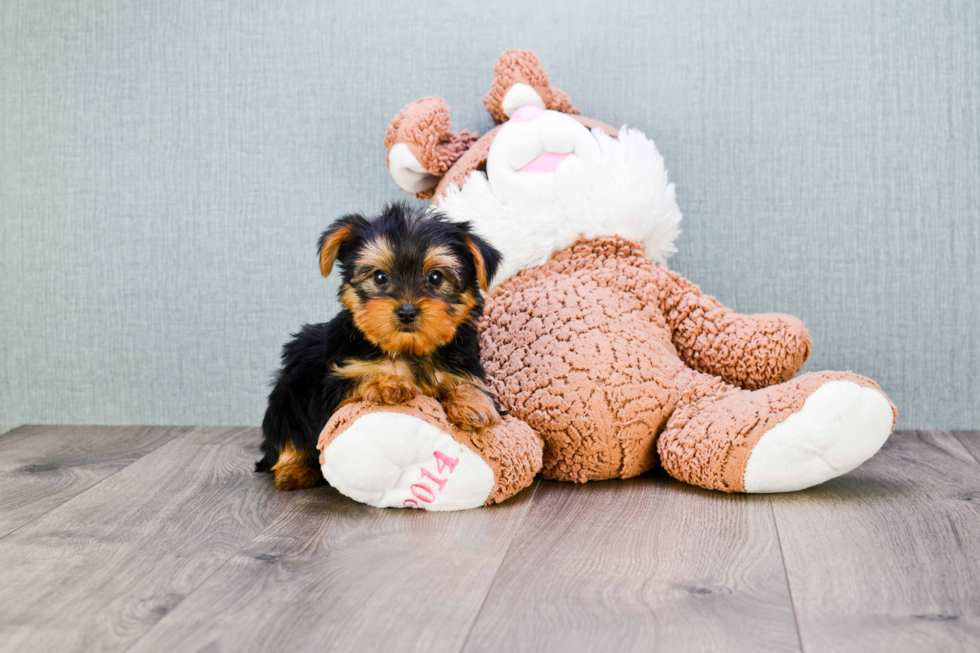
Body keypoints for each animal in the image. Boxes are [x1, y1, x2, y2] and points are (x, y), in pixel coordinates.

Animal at [255, 202, 506, 488]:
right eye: (379, 277)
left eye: (435, 278)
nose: (407, 311)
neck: (410, 351)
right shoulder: (335, 384)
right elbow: (363, 377)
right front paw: (389, 384)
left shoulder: (464, 367)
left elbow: (468, 384)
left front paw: (474, 404)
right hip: (287, 391)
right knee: (286, 435)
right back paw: (294, 471)